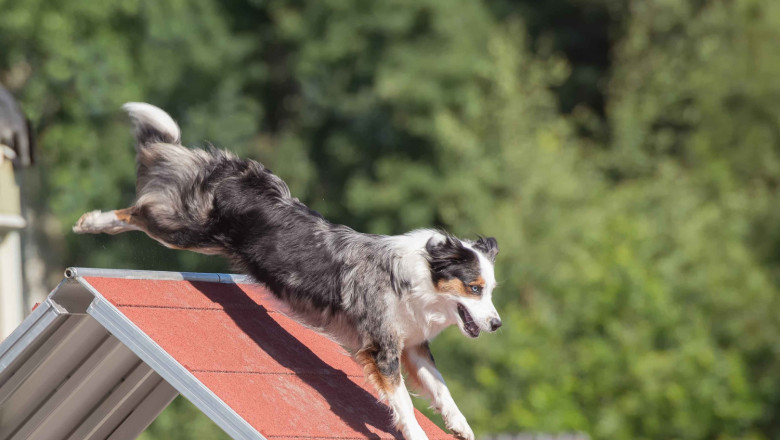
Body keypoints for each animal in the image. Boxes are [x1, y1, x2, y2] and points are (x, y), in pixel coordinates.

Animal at [73, 103, 500, 440]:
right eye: (475, 288)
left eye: (491, 289)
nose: (497, 324)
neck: (419, 279)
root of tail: (237, 170)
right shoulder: (382, 348)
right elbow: (404, 404)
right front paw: (415, 433)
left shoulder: (412, 346)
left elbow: (442, 390)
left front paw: (461, 426)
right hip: (186, 230)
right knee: (138, 210)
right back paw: (91, 221)